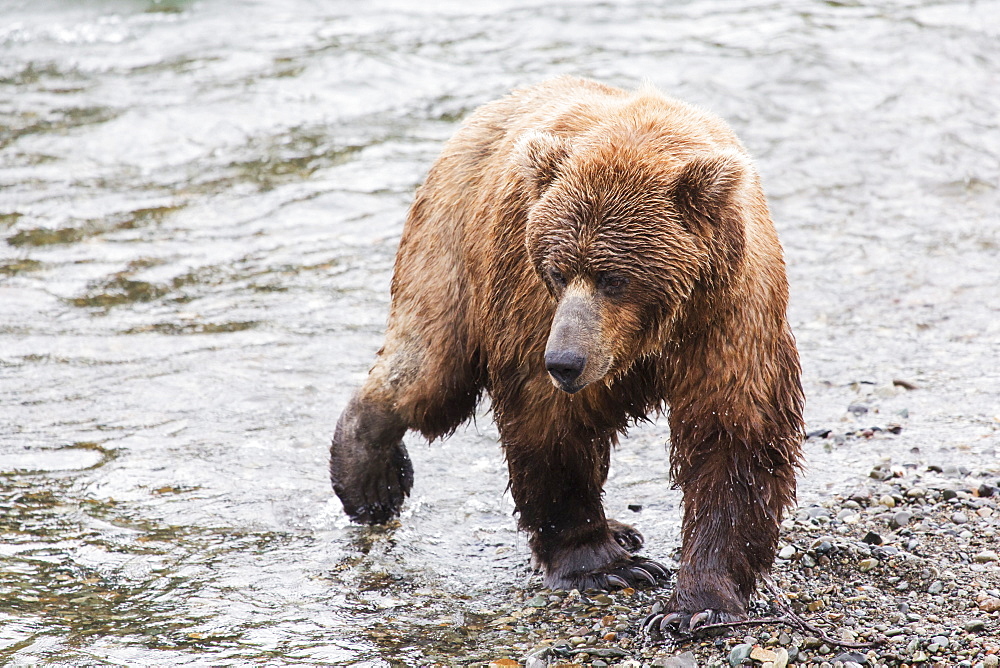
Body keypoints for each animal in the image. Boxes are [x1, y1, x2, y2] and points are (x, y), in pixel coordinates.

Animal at [328, 75, 804, 628]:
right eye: (557, 270)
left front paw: (696, 604)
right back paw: (369, 480)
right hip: (452, 247)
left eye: (614, 278)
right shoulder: (532, 303)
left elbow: (734, 432)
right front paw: (603, 566)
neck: (649, 338)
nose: (564, 362)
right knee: (430, 371)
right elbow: (551, 426)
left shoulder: (729, 312)